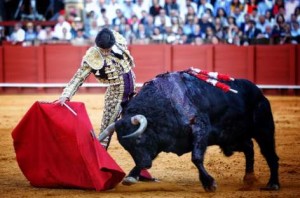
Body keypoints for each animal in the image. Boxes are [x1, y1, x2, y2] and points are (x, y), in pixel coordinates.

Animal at [98, 69, 278, 192]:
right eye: (126, 147)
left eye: (138, 139)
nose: (145, 164)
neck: (163, 105)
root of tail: (258, 91)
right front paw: (131, 176)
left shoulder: (200, 129)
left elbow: (196, 158)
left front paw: (209, 183)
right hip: (231, 139)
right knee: (249, 148)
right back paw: (249, 178)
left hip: (264, 130)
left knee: (269, 154)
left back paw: (273, 184)